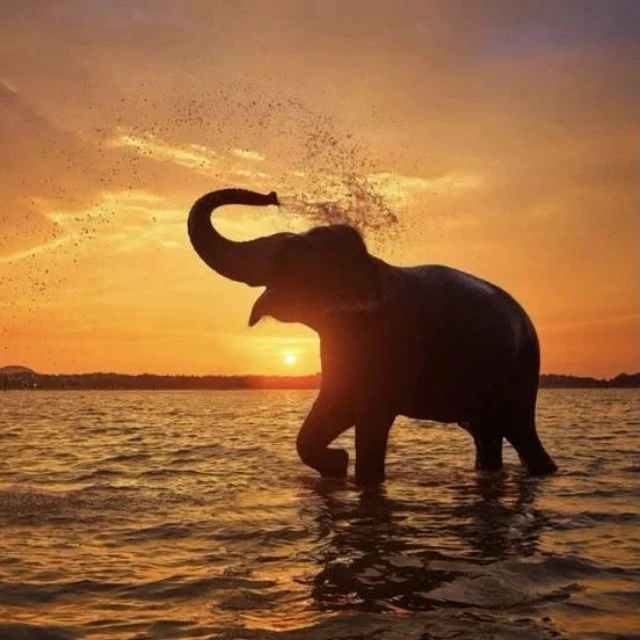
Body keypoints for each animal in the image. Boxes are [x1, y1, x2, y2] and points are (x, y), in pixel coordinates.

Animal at [187, 188, 557, 485]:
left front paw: (359, 475)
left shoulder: (386, 341)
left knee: (520, 431)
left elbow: (371, 418)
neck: (366, 261)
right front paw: (337, 465)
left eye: (291, 253)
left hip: (521, 372)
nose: (272, 195)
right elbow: (331, 410)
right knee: (486, 433)